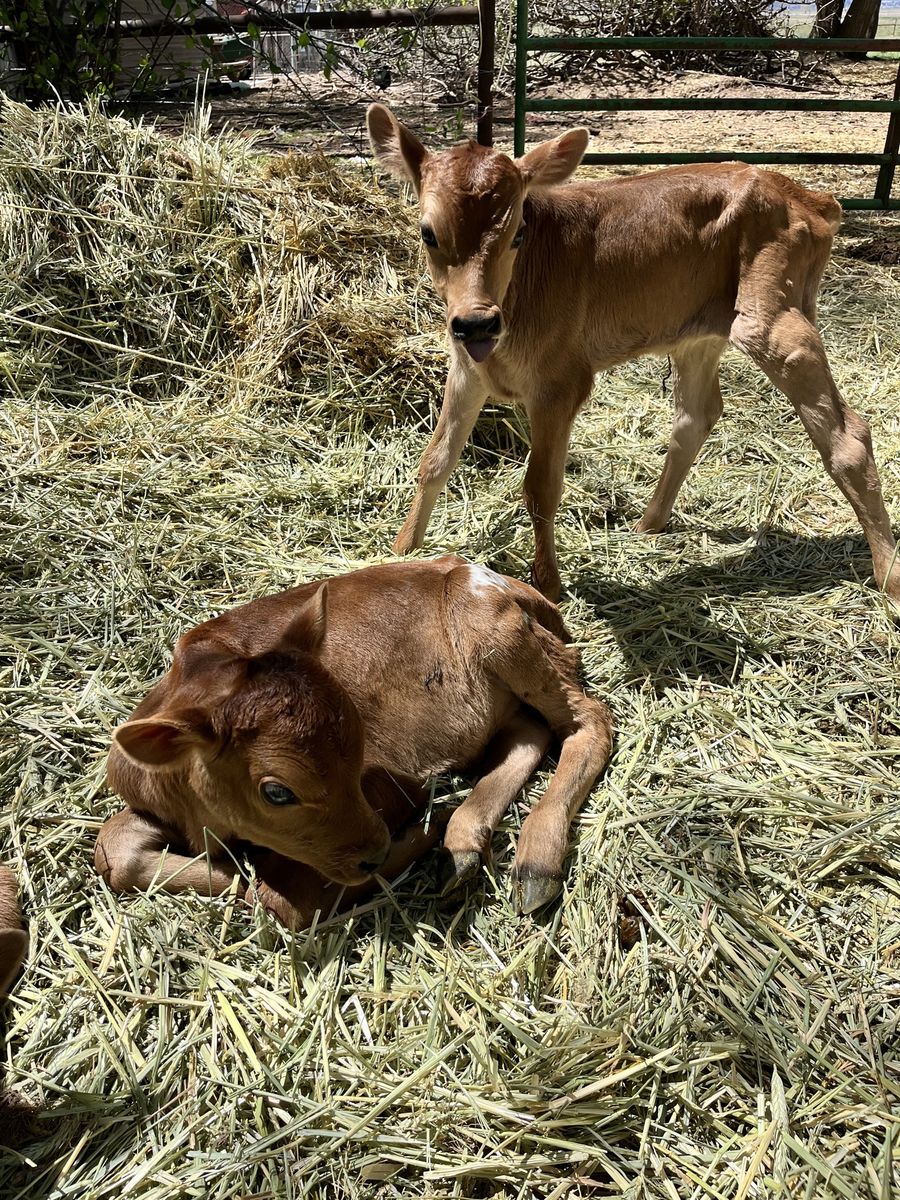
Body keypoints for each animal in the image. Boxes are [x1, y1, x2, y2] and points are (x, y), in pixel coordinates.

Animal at [96, 557, 613, 926]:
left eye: (361, 742)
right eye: (276, 791)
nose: (377, 854)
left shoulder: (396, 785)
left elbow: (281, 899)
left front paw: (425, 832)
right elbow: (110, 848)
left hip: (497, 629)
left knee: (588, 722)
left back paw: (534, 865)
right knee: (531, 733)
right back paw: (465, 844)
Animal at [366, 103, 899, 606]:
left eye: (517, 232)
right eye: (428, 233)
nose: (477, 322)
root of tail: (808, 197)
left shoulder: (560, 384)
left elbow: (541, 487)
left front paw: (549, 584)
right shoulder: (467, 369)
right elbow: (436, 458)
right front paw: (401, 550)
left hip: (772, 317)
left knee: (848, 436)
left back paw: (888, 577)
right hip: (699, 332)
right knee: (696, 415)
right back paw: (648, 523)